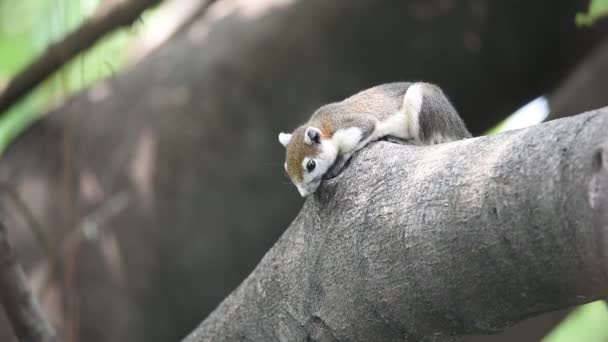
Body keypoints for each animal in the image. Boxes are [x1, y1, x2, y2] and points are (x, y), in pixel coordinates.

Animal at [278, 81, 472, 196]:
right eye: (286, 168)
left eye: (311, 165)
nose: (304, 194)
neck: (325, 125)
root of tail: (459, 128)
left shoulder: (355, 126)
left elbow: (356, 141)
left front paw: (337, 164)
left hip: (422, 102)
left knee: (425, 142)